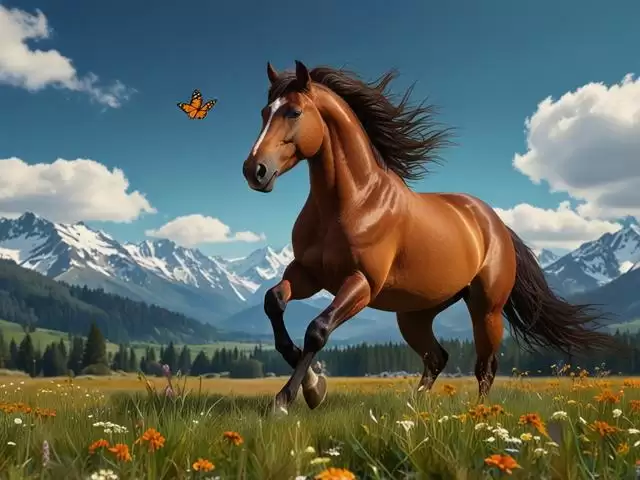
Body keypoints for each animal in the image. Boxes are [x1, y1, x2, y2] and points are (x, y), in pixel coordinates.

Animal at [241, 60, 613, 414]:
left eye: (294, 112)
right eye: (263, 112)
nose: (254, 170)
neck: (352, 203)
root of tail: (495, 224)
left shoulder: (362, 283)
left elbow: (317, 330)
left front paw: (289, 398)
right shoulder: (308, 273)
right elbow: (274, 301)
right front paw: (314, 384)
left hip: (486, 310)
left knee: (485, 366)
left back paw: (479, 415)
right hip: (414, 315)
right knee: (437, 357)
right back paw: (414, 407)